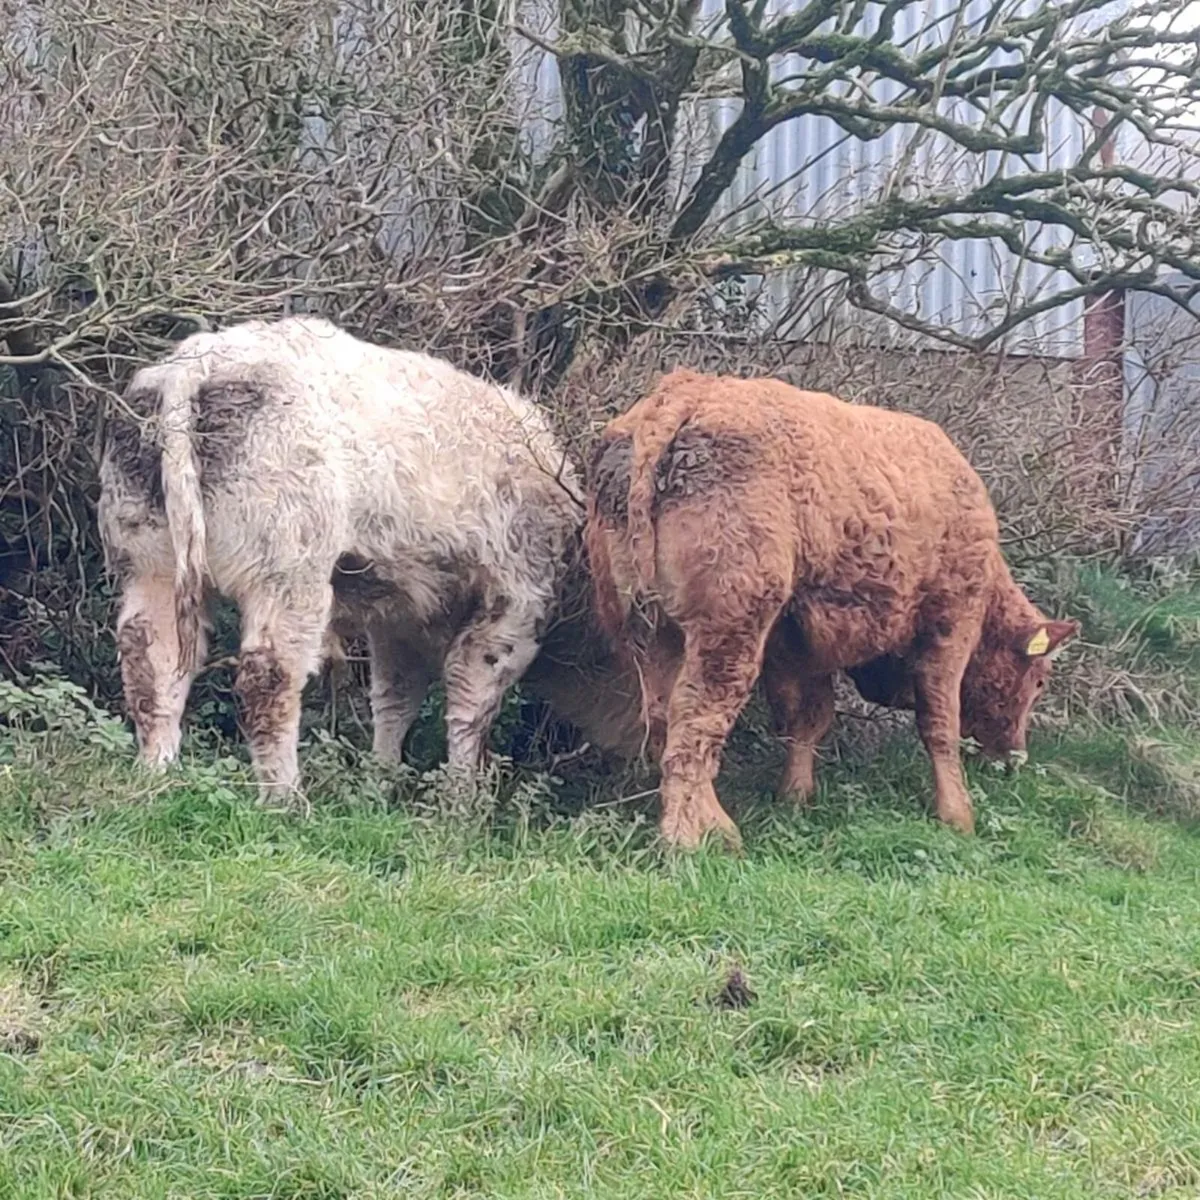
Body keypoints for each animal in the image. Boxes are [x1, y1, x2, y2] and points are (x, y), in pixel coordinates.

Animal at [98, 315, 596, 805]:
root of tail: (196, 365)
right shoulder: (517, 600)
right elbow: (470, 696)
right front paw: (460, 799)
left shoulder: (402, 616)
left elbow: (395, 695)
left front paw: (381, 781)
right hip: (289, 565)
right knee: (268, 677)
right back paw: (285, 799)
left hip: (150, 559)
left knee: (151, 663)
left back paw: (155, 775)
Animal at [585, 368, 1080, 849]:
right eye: (1039, 680)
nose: (1015, 756)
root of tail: (683, 394)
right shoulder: (950, 625)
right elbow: (939, 723)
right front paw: (957, 815)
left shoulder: (797, 644)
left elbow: (806, 719)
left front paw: (795, 796)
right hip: (728, 630)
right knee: (695, 720)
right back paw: (698, 836)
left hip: (647, 629)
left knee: (663, 717)